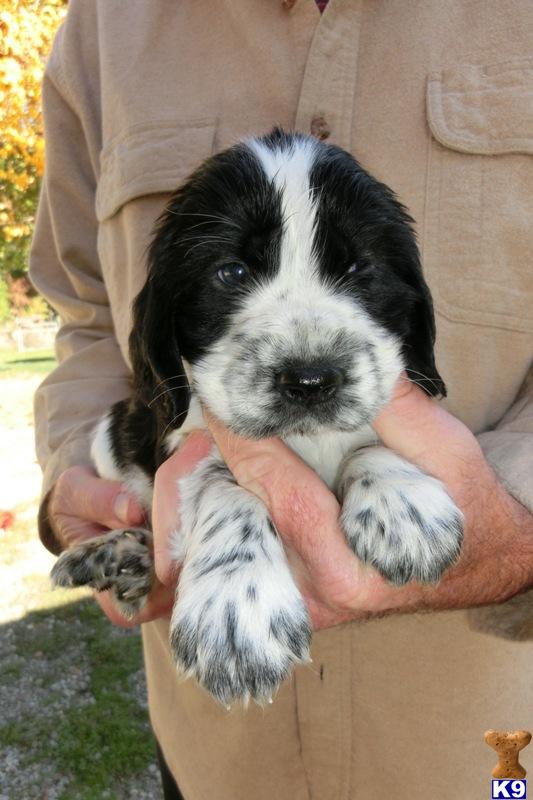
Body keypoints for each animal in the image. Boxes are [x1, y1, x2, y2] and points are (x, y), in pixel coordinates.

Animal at [52, 128, 464, 704]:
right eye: (232, 271)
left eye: (360, 269)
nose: (310, 380)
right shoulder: (187, 441)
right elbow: (229, 490)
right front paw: (233, 609)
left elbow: (369, 440)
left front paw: (404, 503)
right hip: (111, 435)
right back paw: (112, 552)